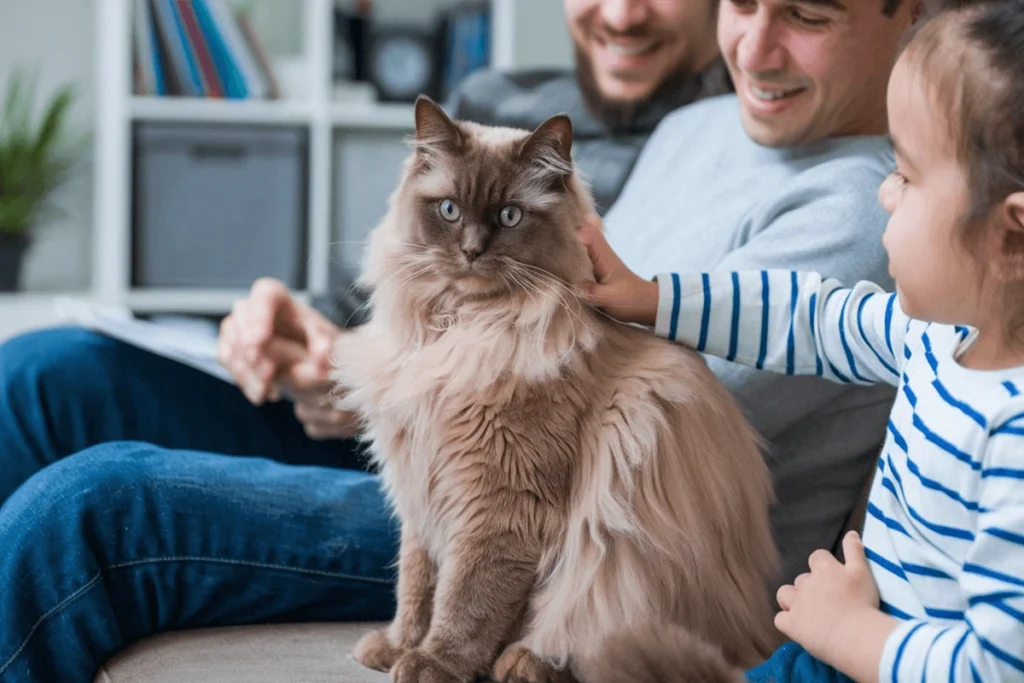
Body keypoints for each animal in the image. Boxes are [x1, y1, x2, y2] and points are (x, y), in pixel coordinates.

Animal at [331, 96, 778, 683]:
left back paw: (523, 662)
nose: (471, 251)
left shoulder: (499, 502)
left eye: (509, 216)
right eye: (449, 211)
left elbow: (465, 599)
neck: (459, 329)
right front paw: (396, 646)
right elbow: (417, 584)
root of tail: (760, 635)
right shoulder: (421, 489)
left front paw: (433, 662)